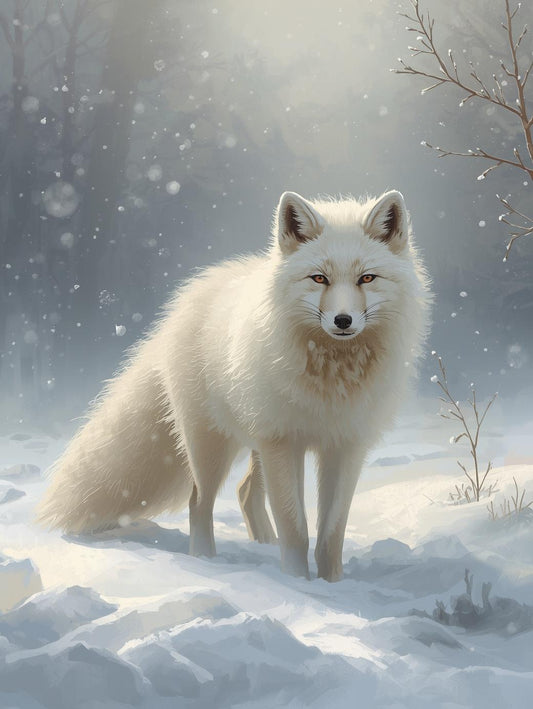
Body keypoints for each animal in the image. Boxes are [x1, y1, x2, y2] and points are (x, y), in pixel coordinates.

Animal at [37, 189, 431, 582]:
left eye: (367, 278)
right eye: (319, 279)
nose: (343, 320)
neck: (332, 375)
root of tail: (178, 308)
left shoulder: (345, 446)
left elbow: (331, 534)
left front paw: (331, 585)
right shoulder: (284, 442)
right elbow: (296, 528)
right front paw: (297, 583)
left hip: (254, 442)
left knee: (244, 493)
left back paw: (264, 545)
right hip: (214, 444)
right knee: (199, 501)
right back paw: (205, 562)